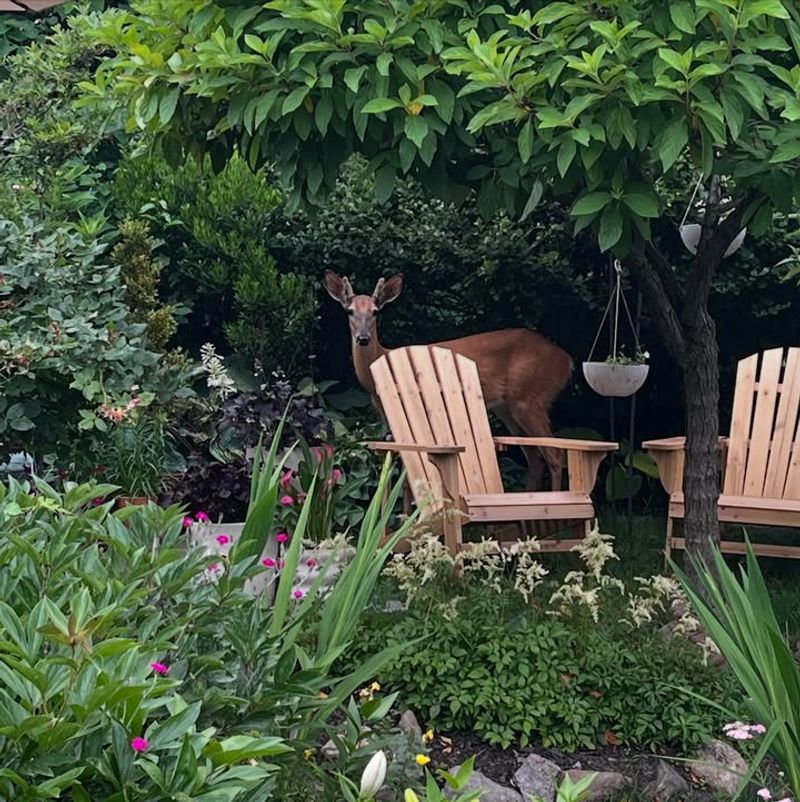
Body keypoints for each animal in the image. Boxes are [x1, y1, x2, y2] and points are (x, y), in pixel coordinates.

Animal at [323, 270, 574, 489]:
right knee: (535, 457)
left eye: (375, 311)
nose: (363, 338)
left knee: (554, 454)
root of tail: (567, 361)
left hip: (531, 398)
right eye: (350, 311)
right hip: (508, 408)